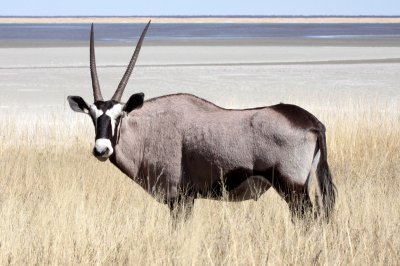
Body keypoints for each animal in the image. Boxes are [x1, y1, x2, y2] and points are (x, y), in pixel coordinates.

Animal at [67, 20, 336, 220]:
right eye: (92, 115)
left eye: (120, 115)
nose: (101, 149)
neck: (149, 130)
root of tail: (312, 122)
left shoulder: (179, 199)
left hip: (292, 188)